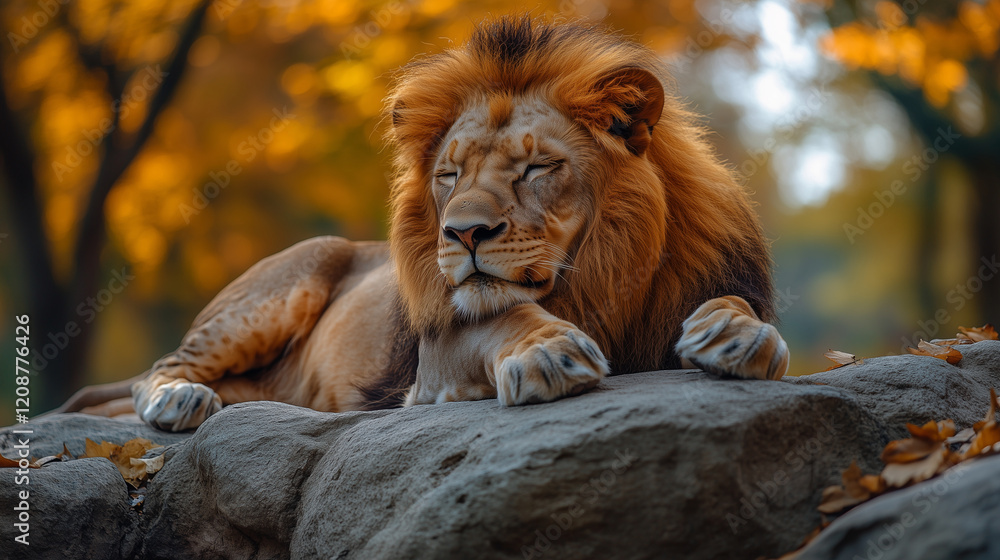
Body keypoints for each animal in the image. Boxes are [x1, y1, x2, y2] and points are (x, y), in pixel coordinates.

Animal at [61, 16, 789, 431]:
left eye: (537, 168)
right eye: (449, 175)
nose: (463, 234)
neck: (601, 276)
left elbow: (745, 315)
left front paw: (737, 335)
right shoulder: (434, 364)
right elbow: (500, 318)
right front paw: (548, 350)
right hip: (286, 279)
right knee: (162, 367)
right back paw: (180, 400)